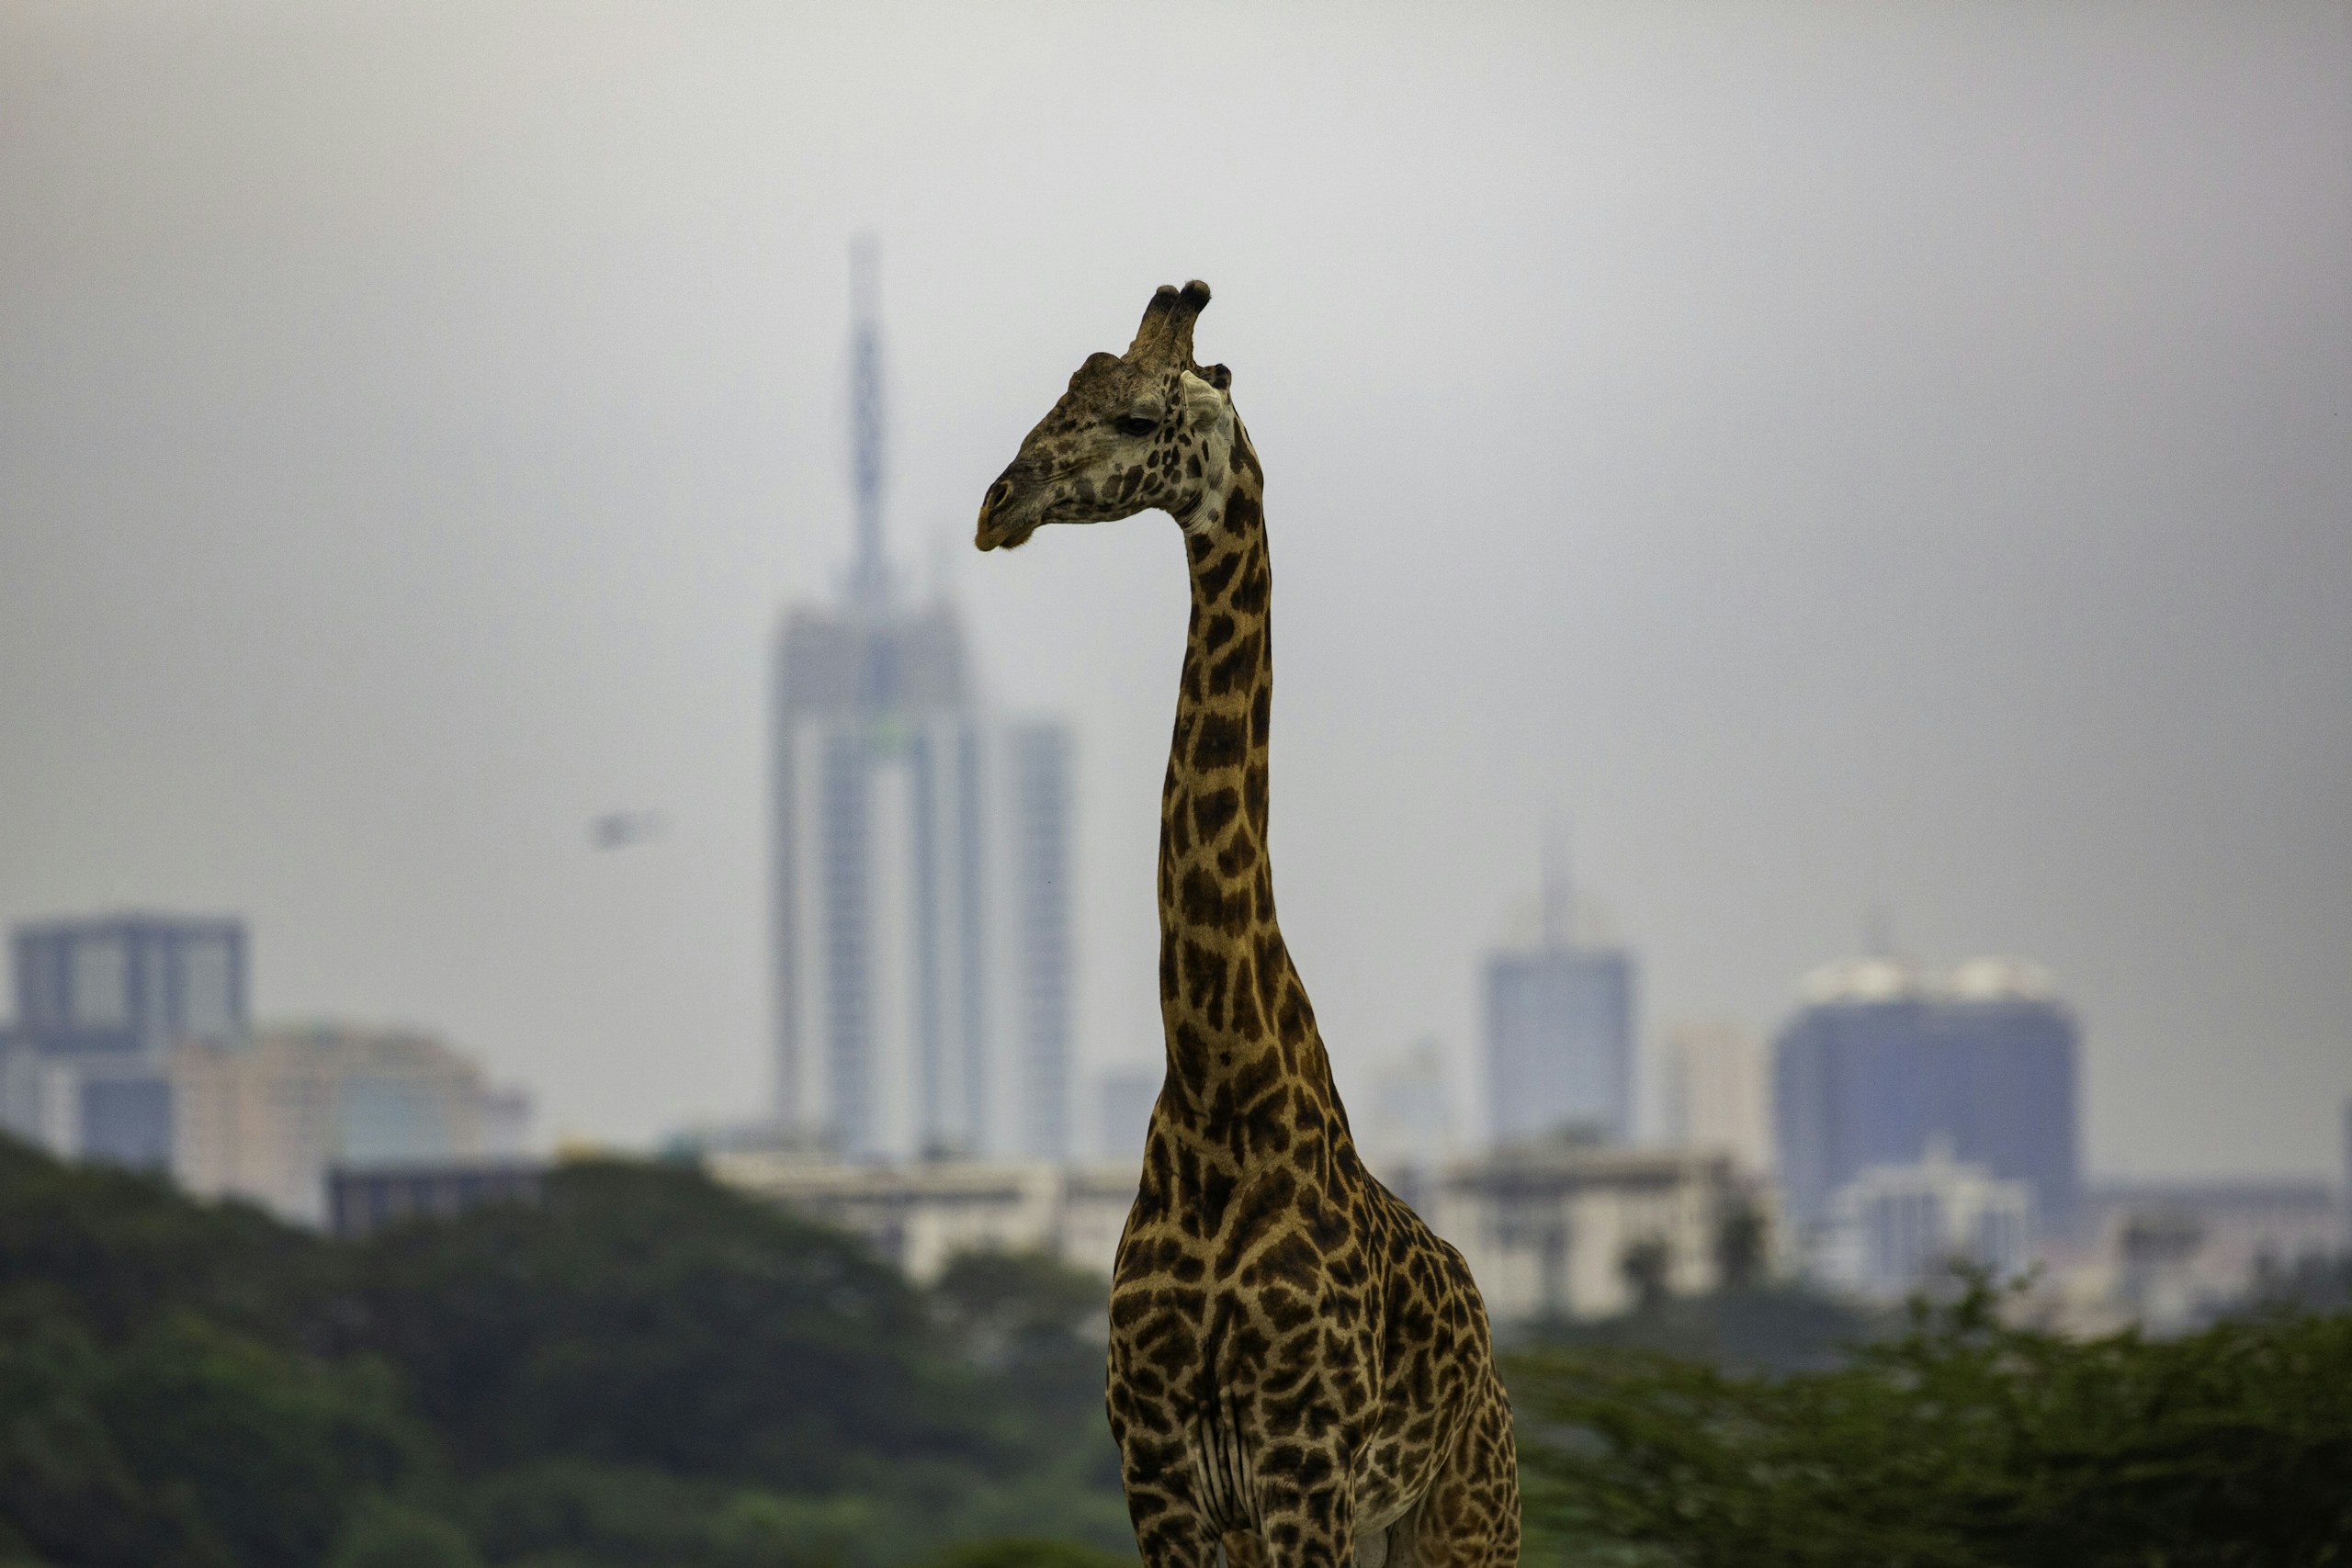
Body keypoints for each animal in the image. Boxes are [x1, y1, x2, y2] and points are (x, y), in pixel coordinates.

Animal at [975, 282, 1520, 1568]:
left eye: (1133, 418)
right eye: (1061, 391)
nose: (995, 507)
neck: (1219, 1081)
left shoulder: (1301, 1462)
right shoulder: (1161, 1471)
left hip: (1463, 1514)